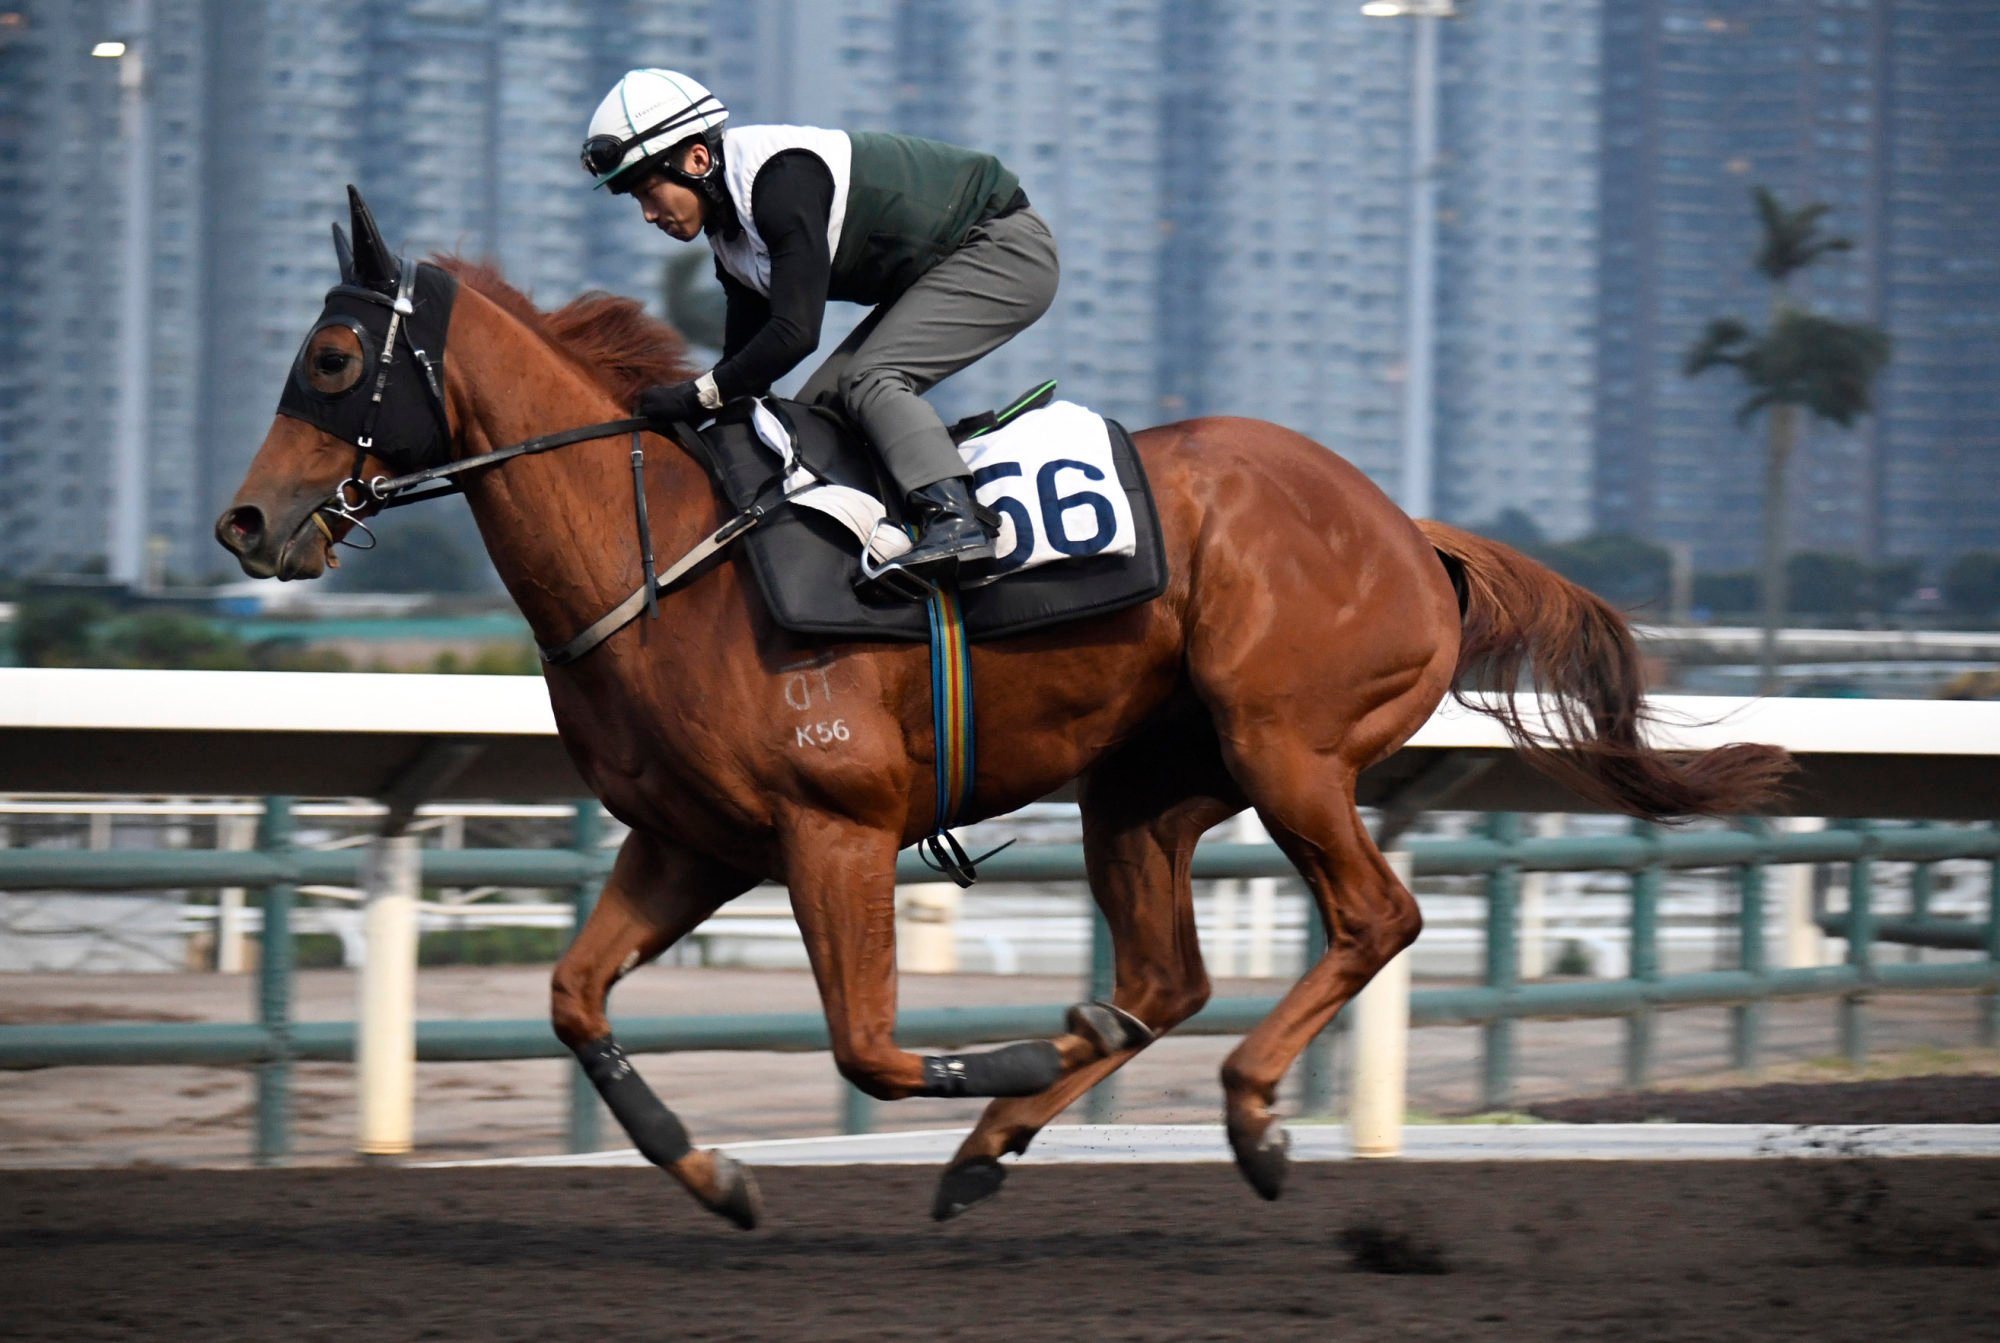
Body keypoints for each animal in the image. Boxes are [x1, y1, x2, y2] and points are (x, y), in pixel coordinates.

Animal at [211, 188, 1792, 1231]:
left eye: (334, 362)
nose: (248, 522)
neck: (662, 555)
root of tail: (1410, 529)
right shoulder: (689, 841)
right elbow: (572, 997)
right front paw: (716, 1172)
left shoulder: (835, 823)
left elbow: (863, 1044)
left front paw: (1015, 1051)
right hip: (1146, 783)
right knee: (1166, 977)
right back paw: (1000, 1140)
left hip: (1289, 745)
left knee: (1371, 918)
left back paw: (1242, 1113)